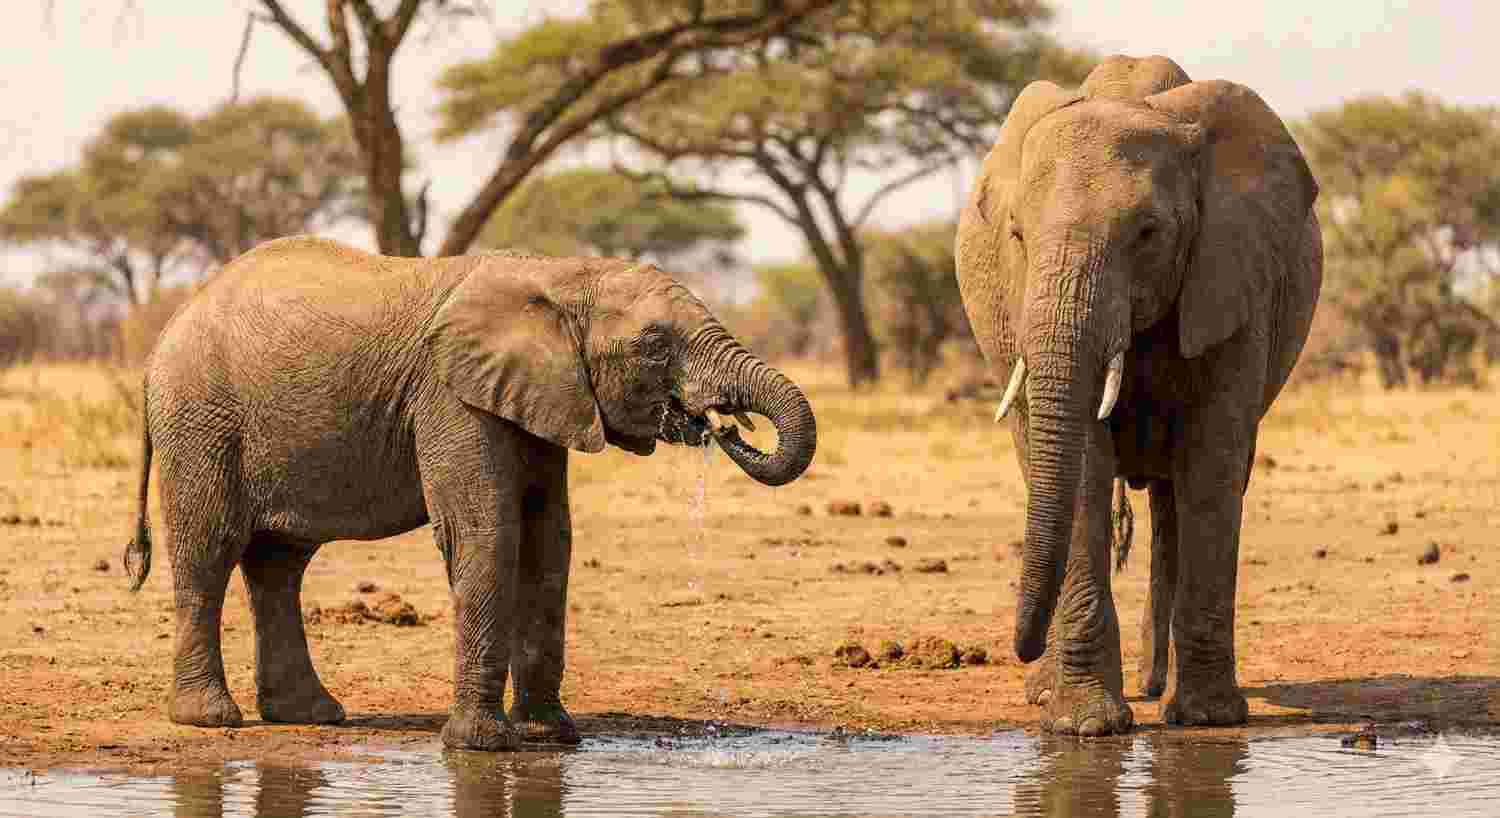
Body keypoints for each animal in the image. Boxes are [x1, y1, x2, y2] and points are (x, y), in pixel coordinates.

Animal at [121, 236, 816, 751]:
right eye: (654, 343)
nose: (721, 425)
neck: (558, 274)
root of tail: (159, 342)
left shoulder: (543, 398)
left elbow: (549, 542)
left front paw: (549, 738)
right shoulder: (451, 396)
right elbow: (487, 531)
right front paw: (482, 746)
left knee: (279, 563)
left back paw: (310, 716)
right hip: (201, 420)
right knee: (209, 552)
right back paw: (210, 720)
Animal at [955, 54, 1321, 735]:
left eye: (1148, 233)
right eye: (1016, 235)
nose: (1019, 648)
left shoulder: (1233, 275)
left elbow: (1212, 460)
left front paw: (1208, 721)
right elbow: (1082, 470)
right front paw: (1084, 727)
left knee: (1181, 494)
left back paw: (1160, 691)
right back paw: (1059, 694)